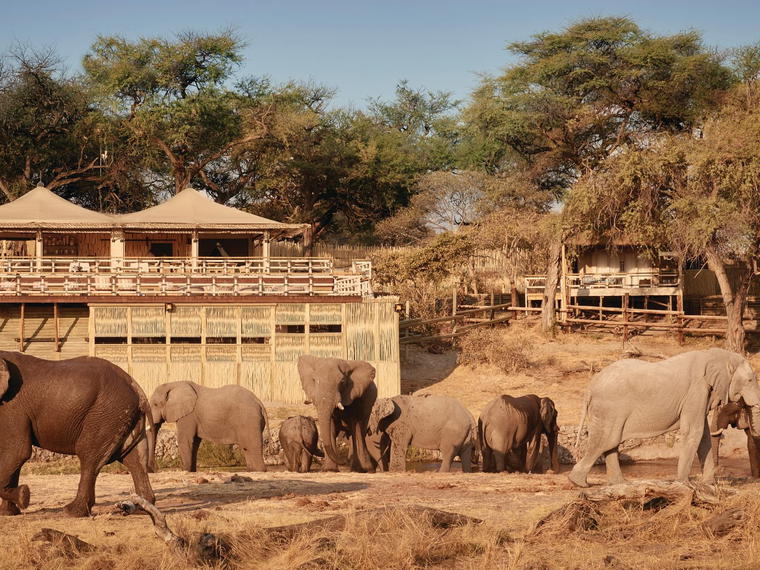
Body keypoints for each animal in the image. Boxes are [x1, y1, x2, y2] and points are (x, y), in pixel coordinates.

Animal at [0, 351, 155, 517]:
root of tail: (138, 390)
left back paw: (71, 512)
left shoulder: (12, 408)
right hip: (124, 417)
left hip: (107, 414)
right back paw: (142, 508)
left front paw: (23, 496)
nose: (24, 493)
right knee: (134, 460)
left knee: (89, 456)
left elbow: (17, 452)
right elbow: (14, 454)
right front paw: (9, 512)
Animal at [569, 348, 760, 487]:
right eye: (750, 380)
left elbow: (703, 435)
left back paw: (619, 484)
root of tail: (590, 386)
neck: (716, 355)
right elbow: (694, 431)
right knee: (605, 441)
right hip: (609, 408)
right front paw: (683, 484)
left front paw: (708, 484)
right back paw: (579, 483)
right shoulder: (696, 390)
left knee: (611, 442)